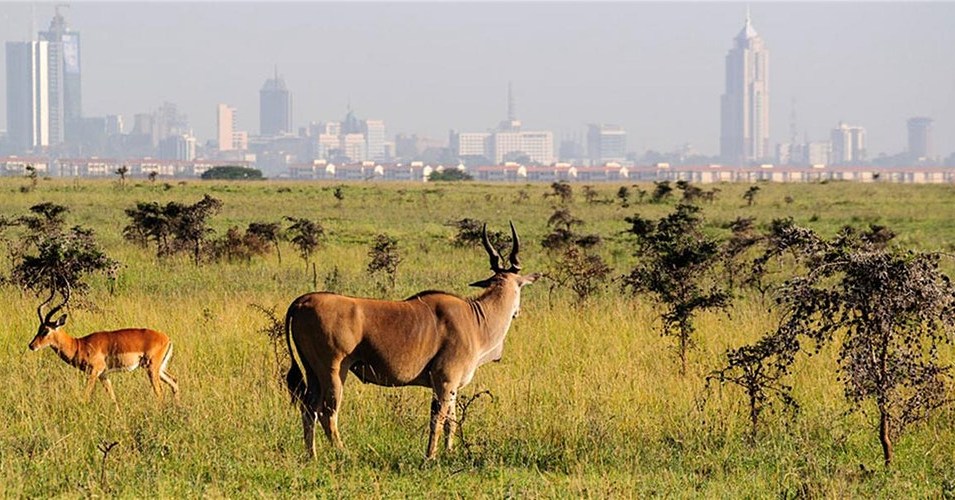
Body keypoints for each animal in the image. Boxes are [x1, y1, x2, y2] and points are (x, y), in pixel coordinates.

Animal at [29, 288, 181, 404]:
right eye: (38, 328)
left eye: (46, 330)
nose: (32, 345)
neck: (79, 345)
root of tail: (167, 339)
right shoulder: (103, 375)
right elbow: (113, 398)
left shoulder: (94, 372)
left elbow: (85, 395)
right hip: (158, 369)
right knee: (174, 381)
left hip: (151, 369)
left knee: (160, 393)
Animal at [286, 224, 536, 460]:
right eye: (520, 287)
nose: (518, 312)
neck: (475, 319)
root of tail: (302, 301)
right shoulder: (445, 381)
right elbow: (438, 419)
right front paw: (430, 456)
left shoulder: (452, 388)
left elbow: (451, 421)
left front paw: (449, 452)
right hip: (334, 372)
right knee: (327, 413)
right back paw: (345, 454)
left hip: (313, 372)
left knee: (309, 409)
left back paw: (312, 455)